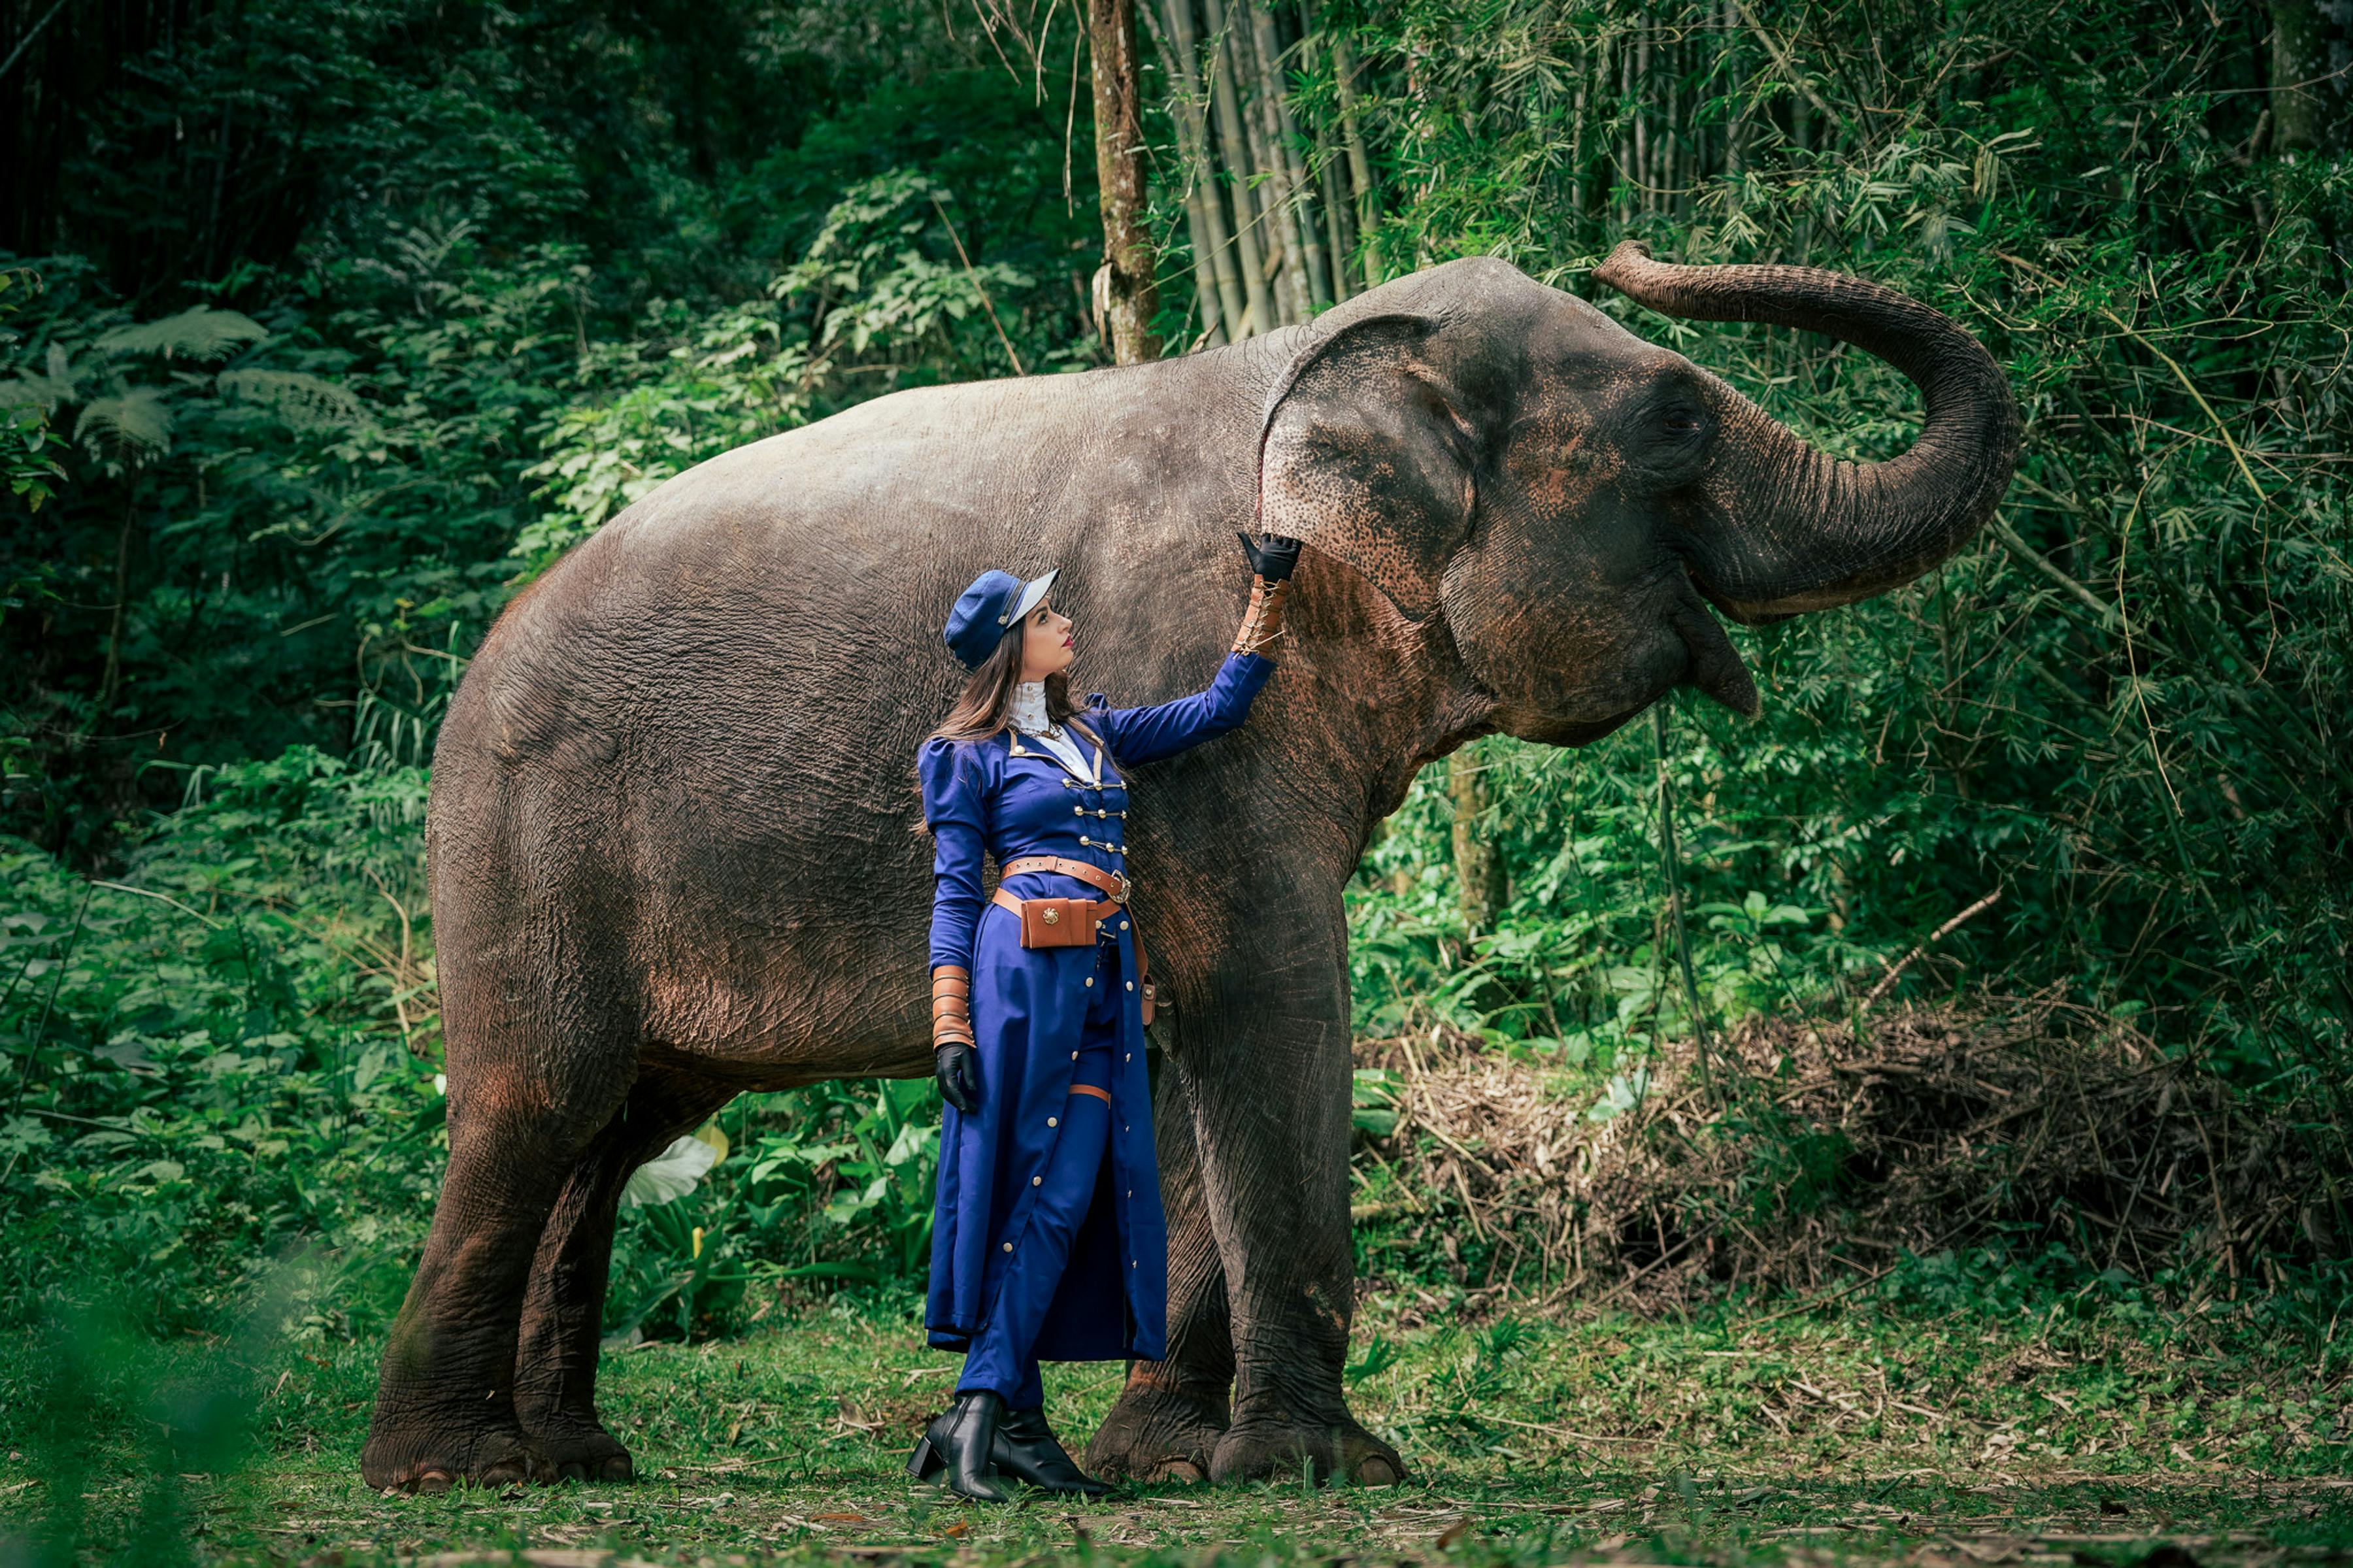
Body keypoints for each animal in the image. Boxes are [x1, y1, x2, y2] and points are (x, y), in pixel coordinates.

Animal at [359, 239, 2018, 1492]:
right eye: (1675, 418)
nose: (1629, 252)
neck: (1305, 353)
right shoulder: (1188, 714)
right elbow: (1271, 1000)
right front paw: (1325, 1466)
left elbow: (1170, 1034)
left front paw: (1159, 1454)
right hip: (523, 840)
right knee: (539, 1099)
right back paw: (454, 1470)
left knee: (621, 1124)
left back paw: (576, 1456)